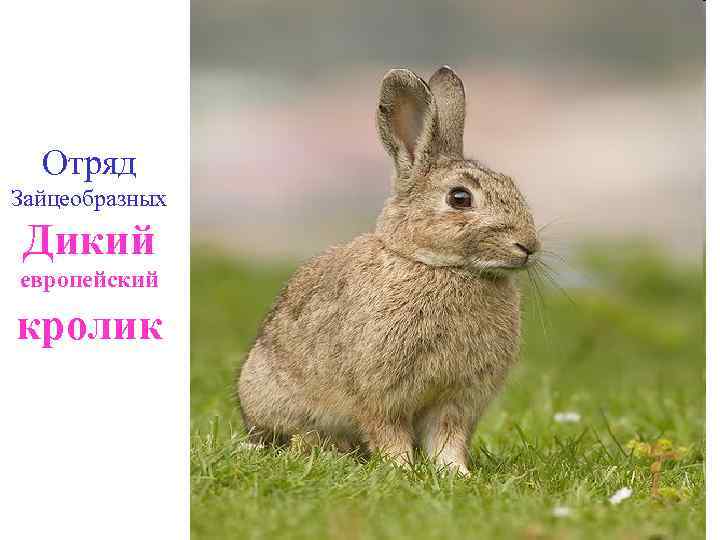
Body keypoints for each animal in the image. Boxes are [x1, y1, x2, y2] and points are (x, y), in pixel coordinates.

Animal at [237, 66, 539, 475]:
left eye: (511, 183)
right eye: (460, 198)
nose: (528, 246)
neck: (439, 265)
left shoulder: (457, 400)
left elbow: (447, 439)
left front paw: (456, 474)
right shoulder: (380, 391)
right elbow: (388, 431)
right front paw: (402, 469)